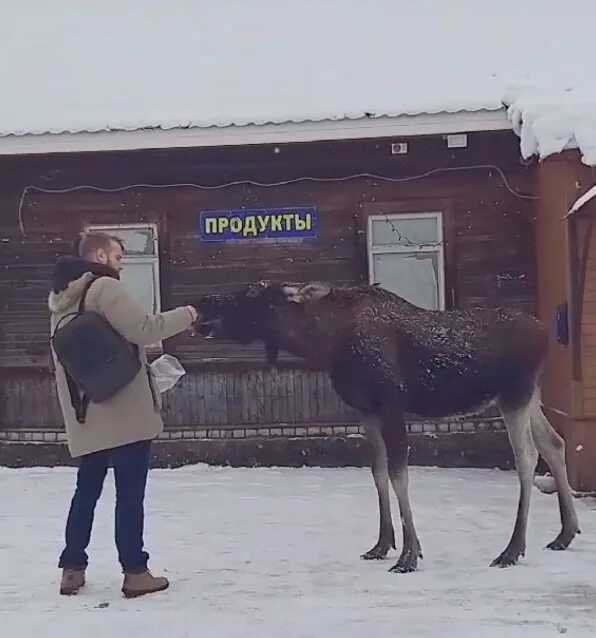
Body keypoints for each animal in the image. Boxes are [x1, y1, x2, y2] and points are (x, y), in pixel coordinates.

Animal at [194, 280, 576, 576]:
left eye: (251, 292)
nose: (204, 302)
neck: (324, 344)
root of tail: (545, 333)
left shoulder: (392, 405)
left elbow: (398, 474)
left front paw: (409, 554)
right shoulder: (366, 410)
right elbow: (378, 471)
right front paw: (381, 544)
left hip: (514, 394)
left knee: (527, 457)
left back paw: (512, 549)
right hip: (528, 396)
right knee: (554, 442)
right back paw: (565, 533)